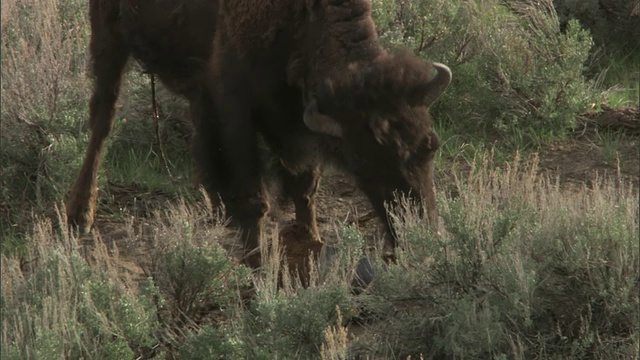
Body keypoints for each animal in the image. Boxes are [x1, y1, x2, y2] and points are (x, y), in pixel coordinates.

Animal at [67, 0, 452, 268]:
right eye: (363, 161)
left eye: (430, 146)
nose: (419, 233)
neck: (304, 20)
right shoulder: (236, 107)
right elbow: (254, 195)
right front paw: (256, 262)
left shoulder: (298, 115)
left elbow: (304, 185)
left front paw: (310, 240)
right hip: (108, 37)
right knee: (102, 120)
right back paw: (80, 216)